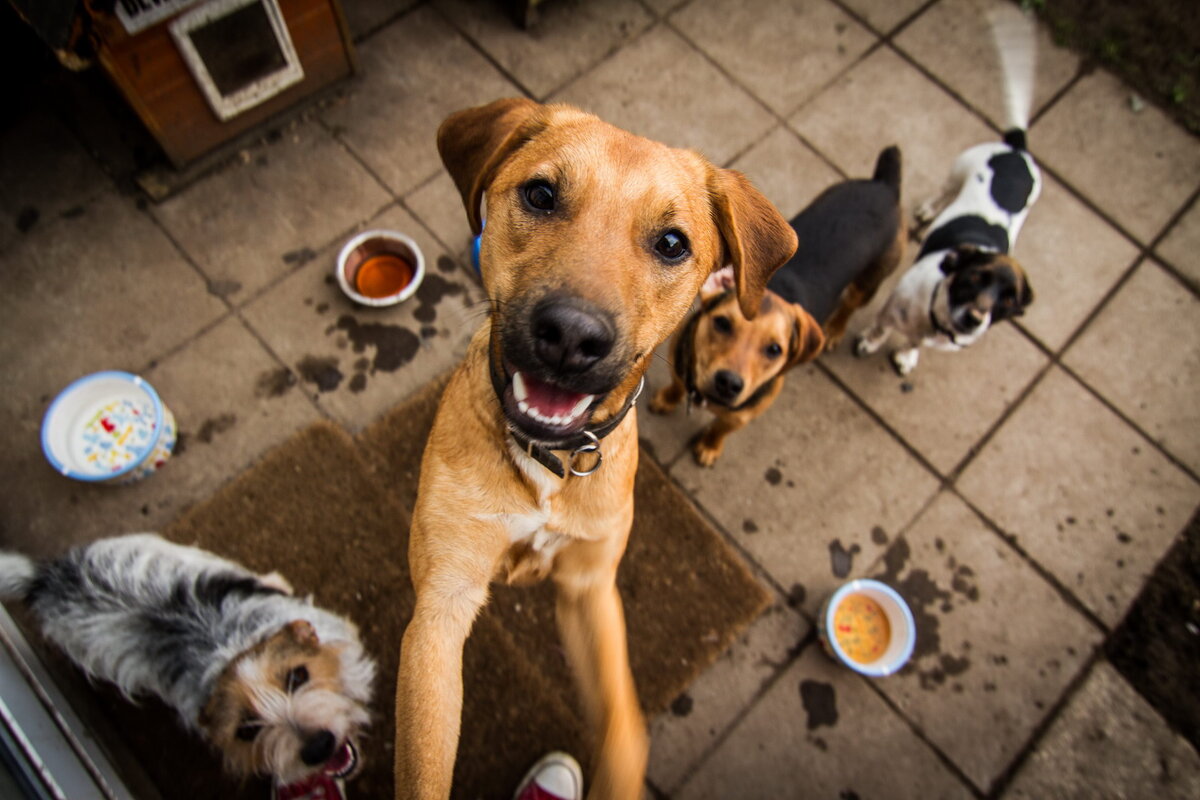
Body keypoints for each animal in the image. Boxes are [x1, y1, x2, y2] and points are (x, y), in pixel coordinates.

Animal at [396, 97, 796, 796]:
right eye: (540, 194)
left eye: (672, 243)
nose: (570, 336)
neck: (548, 463)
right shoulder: (443, 602)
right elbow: (424, 764)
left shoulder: (590, 588)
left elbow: (624, 729)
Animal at [652, 146, 902, 465]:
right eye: (722, 323)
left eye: (774, 350)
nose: (728, 383)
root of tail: (885, 185)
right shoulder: (679, 358)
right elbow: (676, 384)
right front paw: (667, 399)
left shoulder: (743, 415)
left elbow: (721, 427)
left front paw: (709, 445)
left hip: (869, 282)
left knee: (849, 305)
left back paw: (835, 329)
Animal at [854, 6, 1041, 376]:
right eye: (975, 278)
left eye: (1007, 300)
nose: (975, 319)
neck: (937, 320)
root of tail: (1016, 150)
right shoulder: (893, 304)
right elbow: (882, 326)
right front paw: (870, 341)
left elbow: (913, 343)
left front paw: (907, 355)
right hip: (959, 169)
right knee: (943, 191)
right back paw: (929, 208)